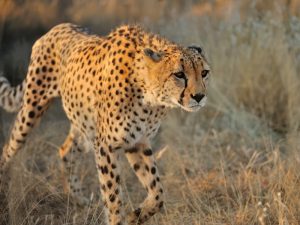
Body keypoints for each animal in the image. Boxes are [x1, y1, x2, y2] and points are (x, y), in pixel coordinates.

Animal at [0, 23, 210, 225]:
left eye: (204, 72)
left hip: (84, 126)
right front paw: (119, 219)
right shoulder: (106, 146)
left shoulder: (138, 142)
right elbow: (113, 196)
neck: (149, 93)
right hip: (32, 110)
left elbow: (157, 191)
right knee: (8, 148)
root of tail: (56, 28)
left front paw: (136, 216)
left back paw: (77, 199)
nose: (199, 96)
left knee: (66, 150)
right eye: (179, 74)